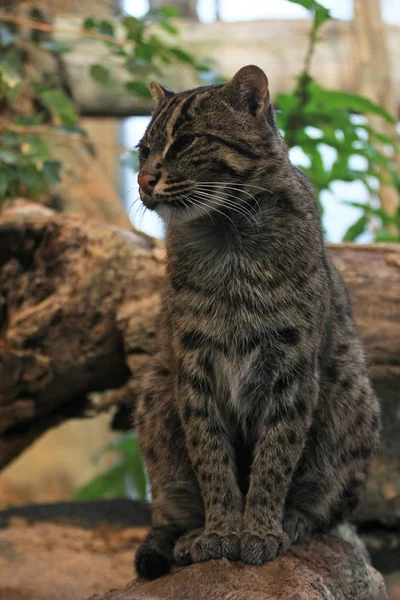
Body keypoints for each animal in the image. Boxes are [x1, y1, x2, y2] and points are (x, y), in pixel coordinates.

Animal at [133, 64, 380, 576]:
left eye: (186, 141)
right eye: (143, 150)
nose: (143, 179)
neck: (225, 233)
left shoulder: (292, 365)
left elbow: (276, 454)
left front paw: (262, 529)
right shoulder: (193, 364)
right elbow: (211, 455)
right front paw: (221, 530)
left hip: (353, 391)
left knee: (331, 510)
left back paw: (295, 520)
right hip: (154, 389)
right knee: (169, 509)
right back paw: (187, 534)